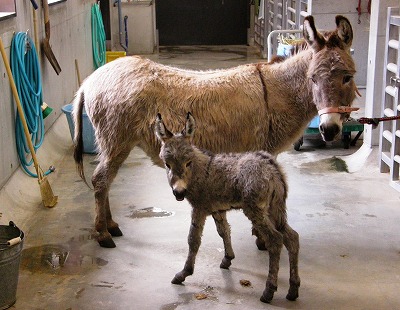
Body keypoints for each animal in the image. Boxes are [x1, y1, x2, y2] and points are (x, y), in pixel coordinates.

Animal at [155, 112, 300, 302]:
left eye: (188, 162)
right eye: (167, 164)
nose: (179, 192)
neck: (198, 172)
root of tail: (272, 167)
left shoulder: (199, 208)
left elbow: (193, 240)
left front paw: (184, 273)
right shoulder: (218, 209)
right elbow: (224, 231)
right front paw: (227, 259)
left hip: (255, 209)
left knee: (275, 240)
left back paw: (269, 291)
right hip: (273, 209)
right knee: (292, 238)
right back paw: (293, 289)